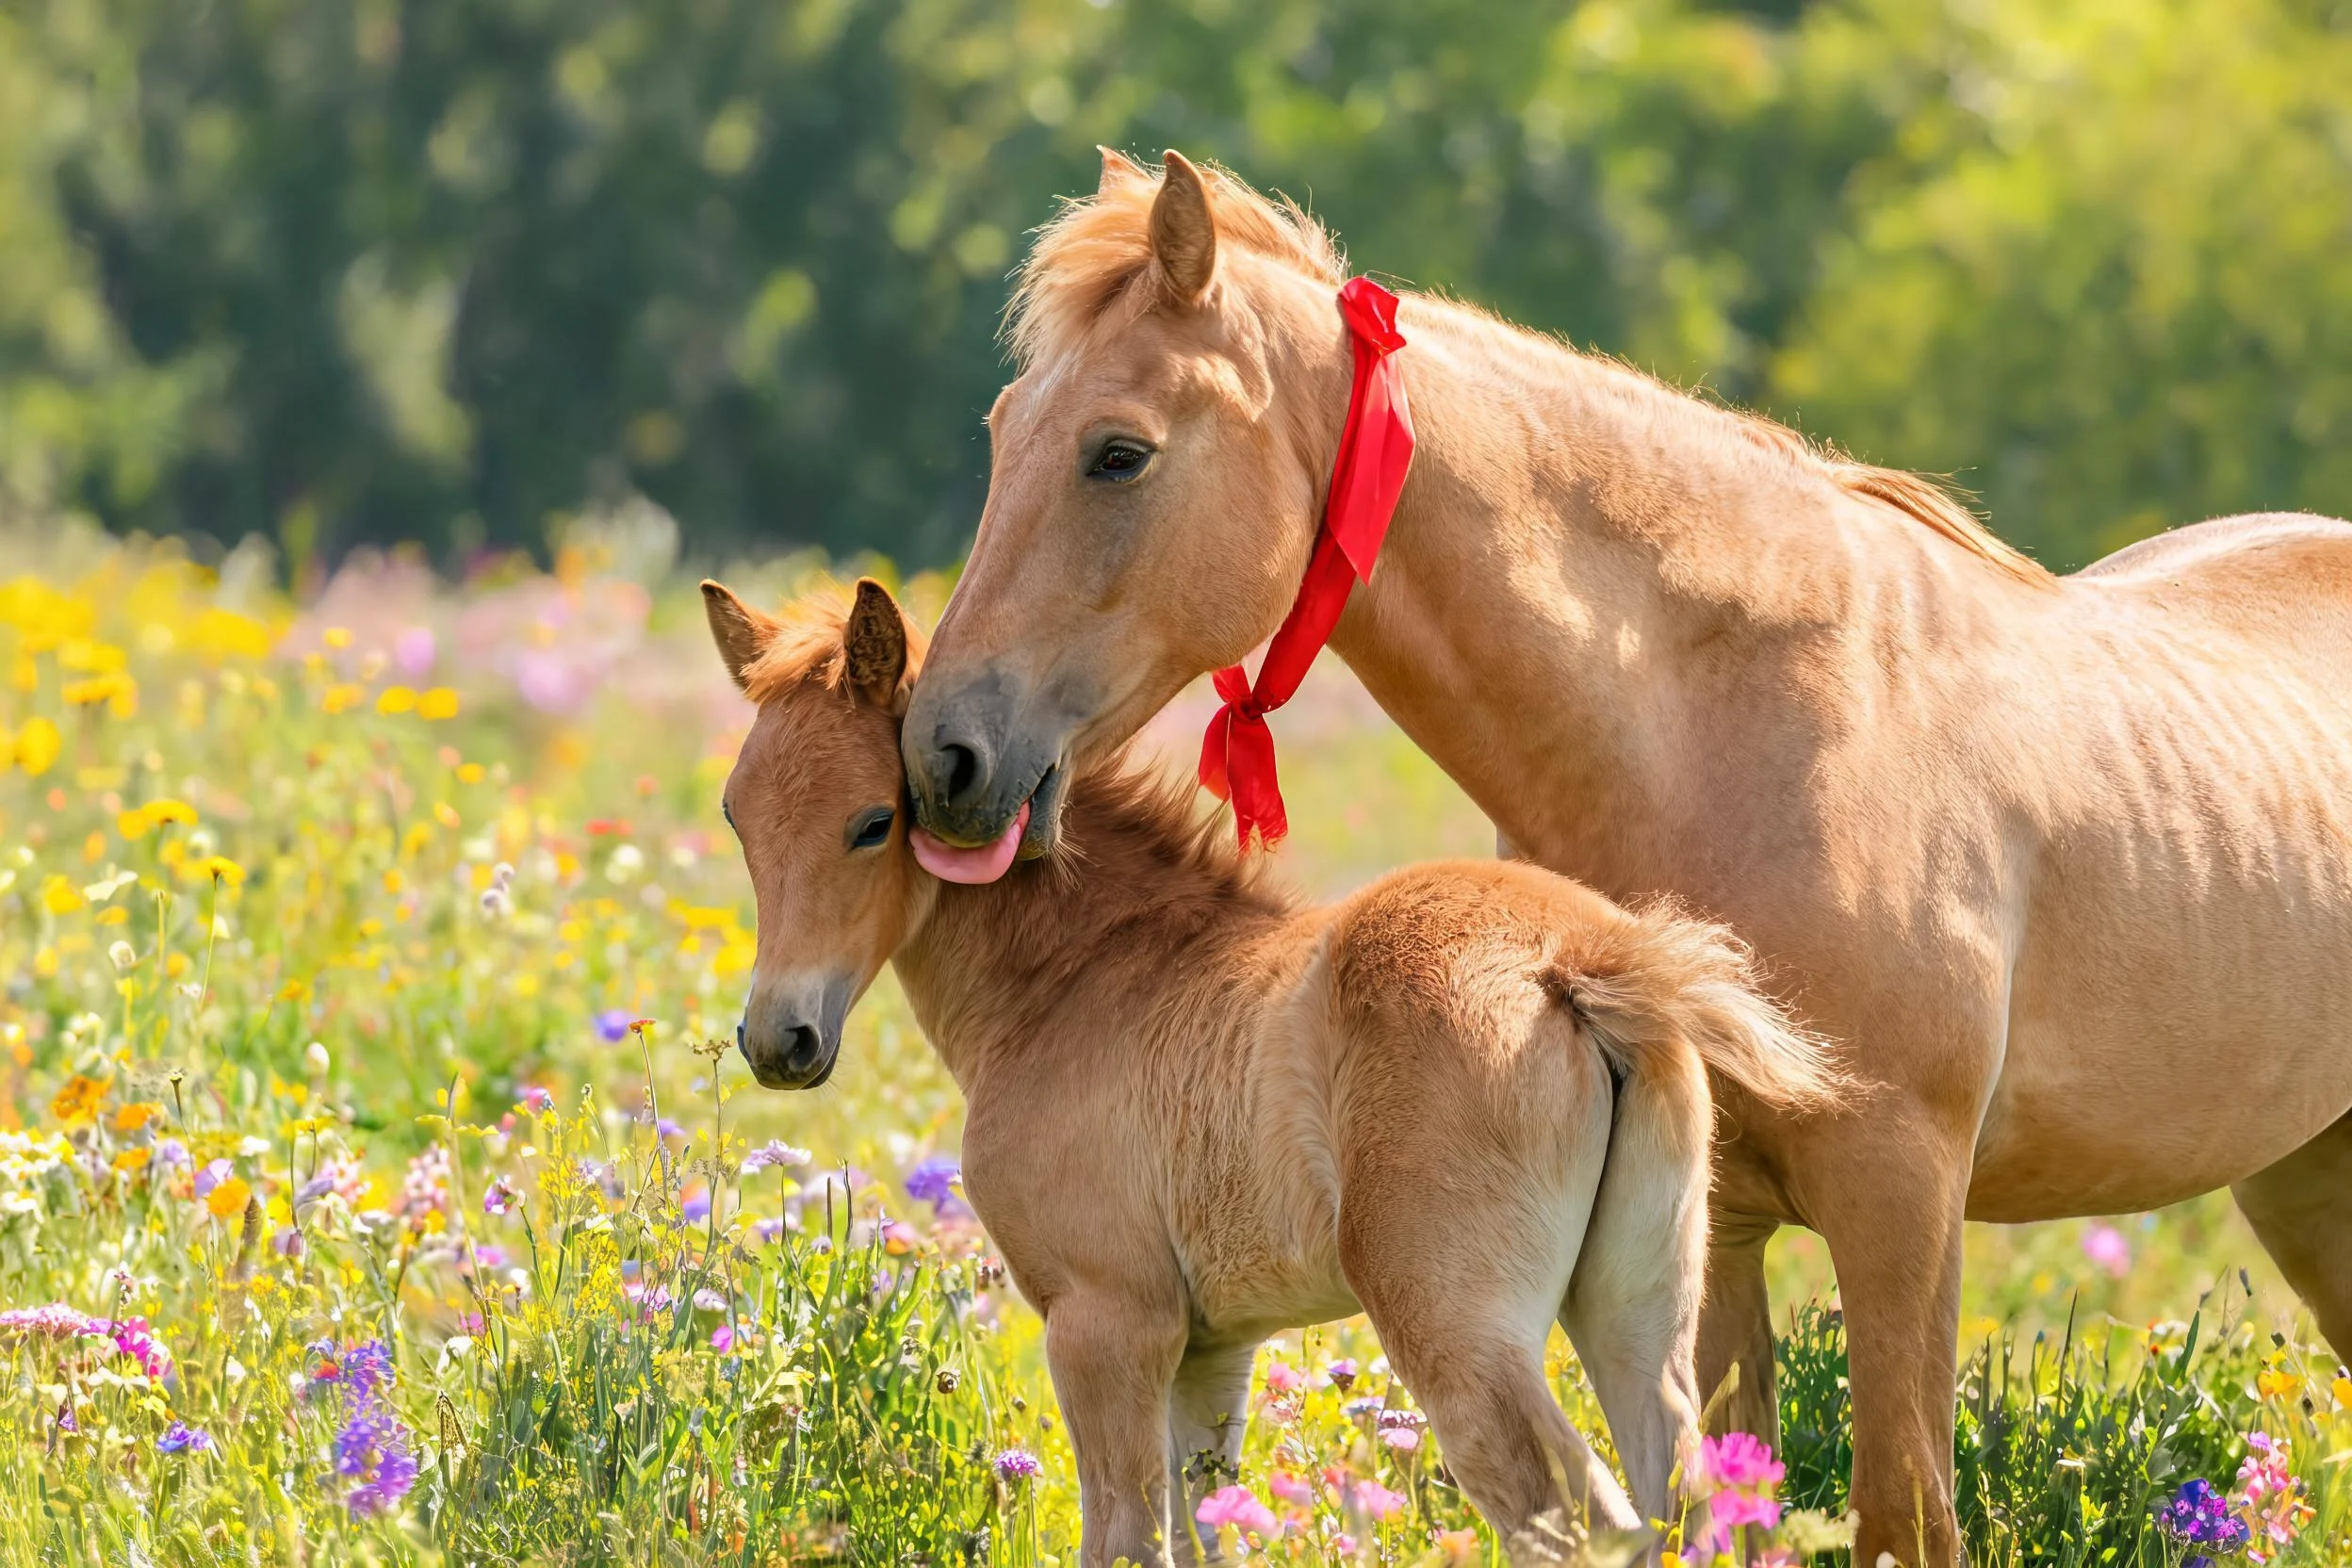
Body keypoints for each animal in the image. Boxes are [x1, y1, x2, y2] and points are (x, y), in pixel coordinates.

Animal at [704, 576, 1844, 1566]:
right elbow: (1207, 1527)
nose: (777, 1040)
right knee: (1689, 1499)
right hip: (1640, 1310)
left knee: (1584, 1519)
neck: (1082, 975)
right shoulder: (1211, 1348)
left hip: (1458, 1329)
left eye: (873, 820)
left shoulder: (1106, 1322)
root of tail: (1583, 961)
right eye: (735, 817)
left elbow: (1124, 1539)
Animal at [895, 150, 2352, 1565]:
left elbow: (1905, 1513)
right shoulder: (1724, 1224)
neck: (1735, 723)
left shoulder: (1900, 1200)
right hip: (2303, 1183)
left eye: (1117, 453)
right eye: (1001, 433)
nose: (942, 758)